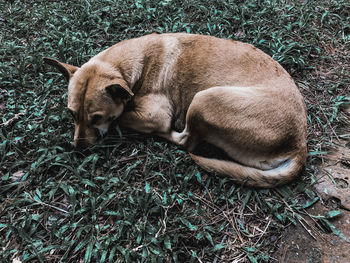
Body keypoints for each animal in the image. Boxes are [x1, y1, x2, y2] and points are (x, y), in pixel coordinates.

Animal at [43, 33, 306, 189]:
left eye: (97, 118)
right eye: (71, 114)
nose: (78, 149)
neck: (126, 65)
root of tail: (298, 144)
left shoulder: (154, 116)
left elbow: (123, 117)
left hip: (204, 99)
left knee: (186, 142)